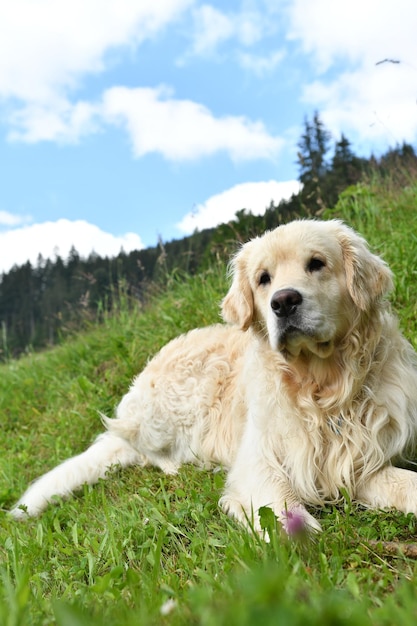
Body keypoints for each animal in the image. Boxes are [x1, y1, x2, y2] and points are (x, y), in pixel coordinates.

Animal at [8, 219, 416, 532]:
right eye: (263, 278)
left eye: (317, 263)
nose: (283, 302)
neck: (320, 388)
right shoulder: (258, 460)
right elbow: (280, 501)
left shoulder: (360, 461)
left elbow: (405, 483)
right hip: (166, 411)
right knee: (133, 444)